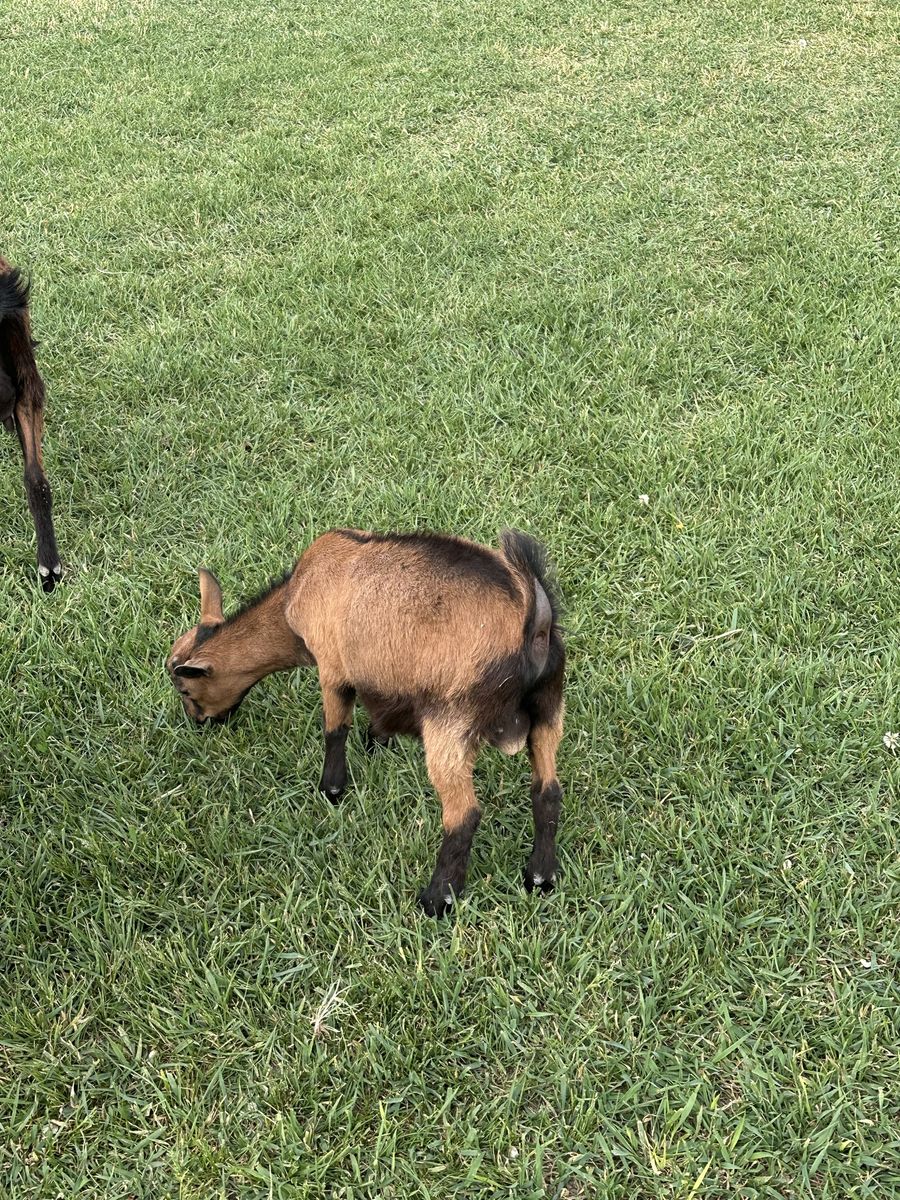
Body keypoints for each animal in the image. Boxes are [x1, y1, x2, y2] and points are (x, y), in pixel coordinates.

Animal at [167, 528, 565, 916]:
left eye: (185, 689)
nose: (200, 723)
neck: (294, 599)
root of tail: (532, 622)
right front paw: (377, 742)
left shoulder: (332, 668)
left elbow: (334, 731)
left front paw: (331, 791)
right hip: (549, 710)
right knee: (547, 791)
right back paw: (539, 878)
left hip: (451, 721)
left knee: (463, 814)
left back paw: (437, 900)